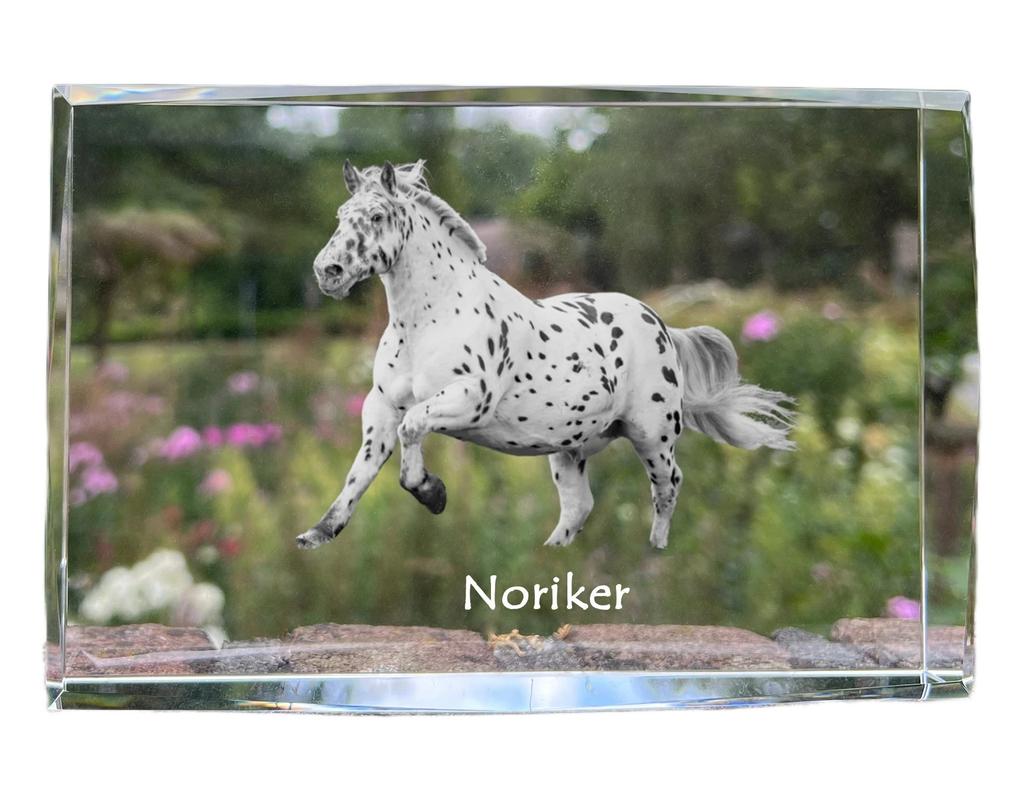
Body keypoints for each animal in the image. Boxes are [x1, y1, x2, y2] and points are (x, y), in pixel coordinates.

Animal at [296, 160, 794, 551]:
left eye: (378, 215)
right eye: (341, 215)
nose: (327, 272)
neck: (430, 320)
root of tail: (660, 323)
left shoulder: (469, 399)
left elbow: (413, 428)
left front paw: (432, 493)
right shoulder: (381, 405)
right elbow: (360, 472)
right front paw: (318, 533)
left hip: (652, 436)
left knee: (667, 488)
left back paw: (656, 552)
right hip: (569, 449)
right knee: (579, 507)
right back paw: (551, 554)